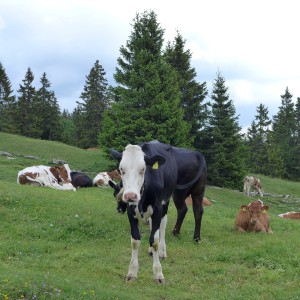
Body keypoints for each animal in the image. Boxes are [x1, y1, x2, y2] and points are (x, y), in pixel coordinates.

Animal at [112, 142, 178, 282]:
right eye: (121, 169)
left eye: (143, 169)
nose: (130, 195)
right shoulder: (131, 210)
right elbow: (135, 241)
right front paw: (132, 272)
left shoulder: (157, 209)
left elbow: (155, 241)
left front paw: (158, 273)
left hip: (166, 201)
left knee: (162, 226)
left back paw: (162, 252)